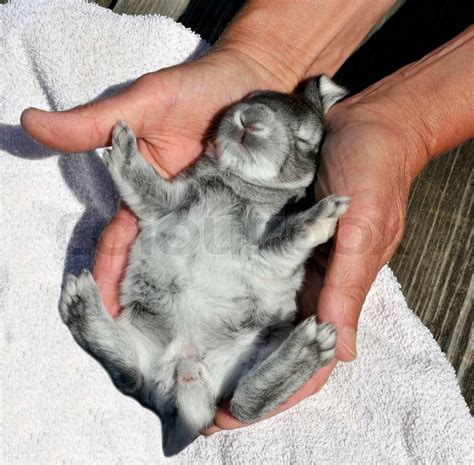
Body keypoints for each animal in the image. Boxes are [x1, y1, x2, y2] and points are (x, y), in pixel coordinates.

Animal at [58, 74, 348, 454]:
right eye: (252, 96)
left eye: (304, 140)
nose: (250, 119)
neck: (238, 183)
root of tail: (187, 370)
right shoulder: (169, 204)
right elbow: (145, 187)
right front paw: (123, 151)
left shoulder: (265, 254)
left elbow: (288, 238)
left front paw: (323, 216)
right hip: (142, 332)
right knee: (131, 373)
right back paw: (81, 302)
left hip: (253, 347)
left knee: (241, 405)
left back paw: (311, 345)